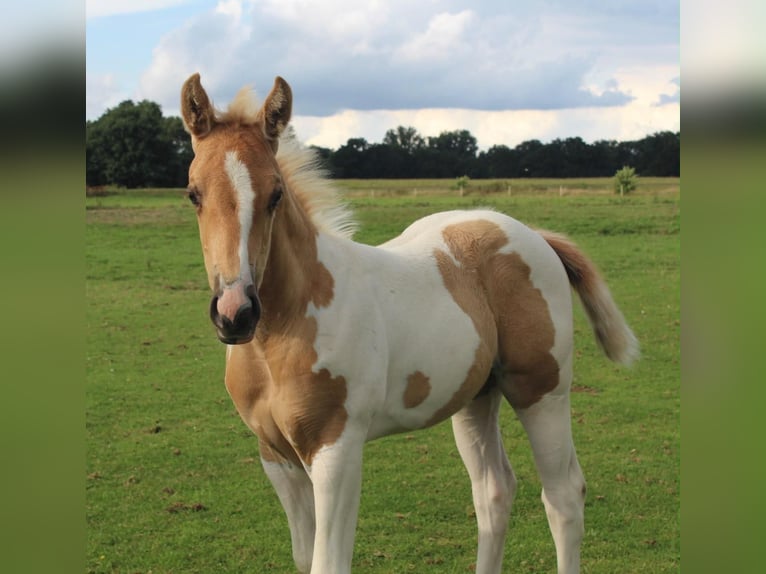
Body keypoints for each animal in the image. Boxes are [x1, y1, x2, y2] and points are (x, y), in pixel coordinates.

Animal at [180, 72, 639, 574]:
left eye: (276, 193)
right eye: (193, 193)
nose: (235, 312)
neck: (281, 335)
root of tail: (533, 235)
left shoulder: (337, 449)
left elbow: (328, 561)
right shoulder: (275, 456)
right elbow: (305, 558)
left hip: (542, 392)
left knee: (563, 497)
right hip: (476, 396)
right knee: (494, 491)